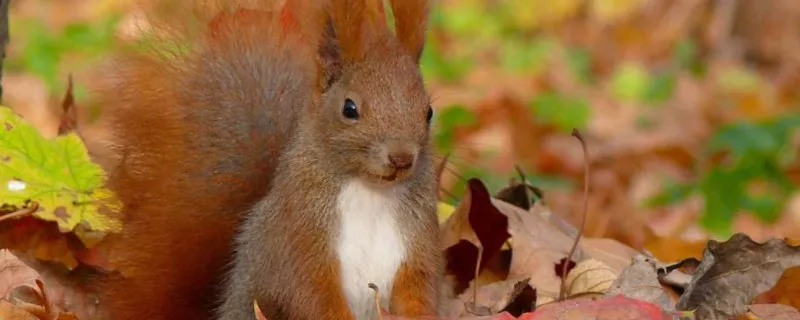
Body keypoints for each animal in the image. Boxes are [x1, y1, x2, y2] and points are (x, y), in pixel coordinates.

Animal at [95, 0, 444, 320]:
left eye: (428, 112)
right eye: (350, 109)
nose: (401, 158)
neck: (370, 191)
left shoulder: (417, 248)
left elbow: (419, 292)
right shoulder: (299, 240)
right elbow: (313, 296)